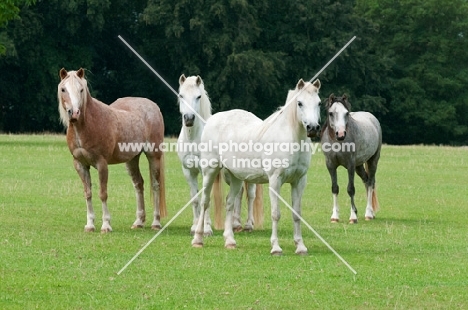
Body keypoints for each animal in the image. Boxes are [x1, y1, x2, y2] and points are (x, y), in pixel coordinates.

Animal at [58, 68, 165, 232]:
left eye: (81, 89)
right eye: (63, 89)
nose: (74, 113)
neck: (88, 124)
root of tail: (153, 106)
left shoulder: (102, 164)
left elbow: (103, 194)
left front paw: (106, 225)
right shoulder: (80, 164)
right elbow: (88, 193)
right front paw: (90, 225)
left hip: (154, 155)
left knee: (155, 185)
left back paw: (156, 223)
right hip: (132, 159)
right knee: (138, 184)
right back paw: (139, 222)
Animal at [176, 75, 262, 235]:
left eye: (198, 96)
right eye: (181, 95)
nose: (189, 118)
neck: (194, 138)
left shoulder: (207, 171)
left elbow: (207, 198)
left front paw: (206, 228)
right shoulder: (188, 171)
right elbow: (195, 199)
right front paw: (195, 226)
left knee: (251, 194)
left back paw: (248, 225)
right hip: (231, 173)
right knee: (239, 193)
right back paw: (235, 224)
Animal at [192, 78, 320, 254]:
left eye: (319, 103)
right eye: (299, 103)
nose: (313, 128)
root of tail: (212, 120)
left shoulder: (299, 181)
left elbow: (296, 214)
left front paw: (300, 247)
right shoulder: (275, 181)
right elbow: (275, 214)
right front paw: (276, 247)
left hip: (236, 178)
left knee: (229, 202)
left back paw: (230, 241)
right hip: (210, 171)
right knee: (205, 202)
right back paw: (198, 238)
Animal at [320, 94, 382, 223]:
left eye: (346, 113)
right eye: (331, 113)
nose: (341, 134)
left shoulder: (350, 165)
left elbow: (350, 189)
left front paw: (353, 216)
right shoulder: (330, 165)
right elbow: (335, 188)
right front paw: (335, 216)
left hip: (373, 160)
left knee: (371, 183)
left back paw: (368, 213)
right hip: (359, 166)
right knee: (366, 180)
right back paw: (371, 213)